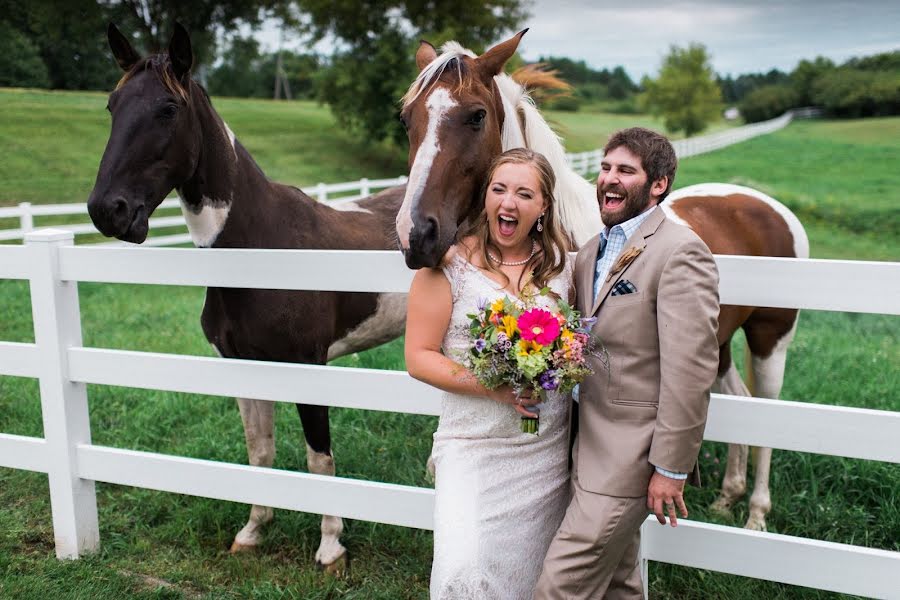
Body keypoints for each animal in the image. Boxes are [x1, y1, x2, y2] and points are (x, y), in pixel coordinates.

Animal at [86, 23, 406, 568]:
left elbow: (319, 459)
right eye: (111, 105)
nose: (108, 210)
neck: (263, 244)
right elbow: (260, 454)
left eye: (167, 109)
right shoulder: (243, 366)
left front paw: (330, 546)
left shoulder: (308, 367)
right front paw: (254, 531)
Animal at [394, 32, 808, 528]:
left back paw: (757, 514)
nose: (416, 234)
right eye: (406, 118)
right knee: (740, 399)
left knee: (766, 412)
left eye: (476, 115)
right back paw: (729, 496)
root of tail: (766, 206)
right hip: (716, 345)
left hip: (770, 339)